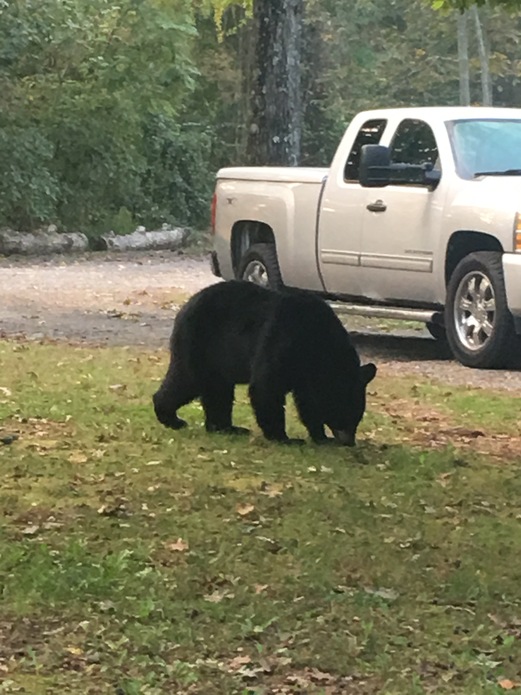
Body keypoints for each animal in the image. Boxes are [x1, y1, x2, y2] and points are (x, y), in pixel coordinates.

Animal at [152, 282, 376, 446]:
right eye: (346, 414)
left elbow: (308, 401)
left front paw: (321, 436)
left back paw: (226, 427)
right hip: (199, 343)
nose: (349, 441)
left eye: (357, 416)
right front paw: (285, 438)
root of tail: (184, 307)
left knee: (218, 390)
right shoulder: (283, 340)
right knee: (187, 379)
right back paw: (171, 417)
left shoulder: (306, 372)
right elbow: (267, 386)